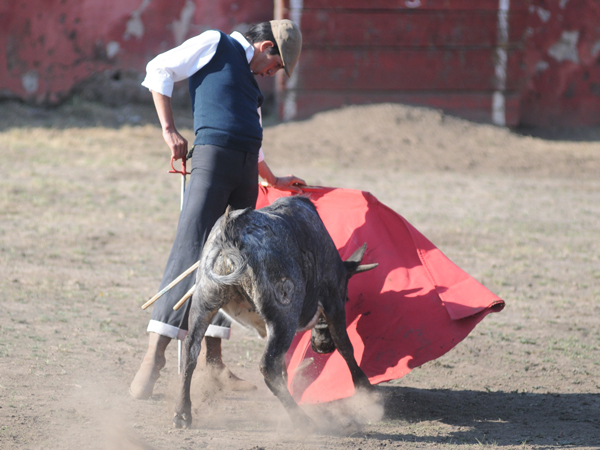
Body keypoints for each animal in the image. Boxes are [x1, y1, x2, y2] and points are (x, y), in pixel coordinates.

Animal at [172, 196, 376, 428]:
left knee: (190, 349)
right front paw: (365, 388)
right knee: (268, 365)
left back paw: (182, 413)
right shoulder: (333, 302)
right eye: (346, 296)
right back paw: (301, 418)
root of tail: (231, 230)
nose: (323, 346)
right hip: (284, 316)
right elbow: (345, 346)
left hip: (203, 302)